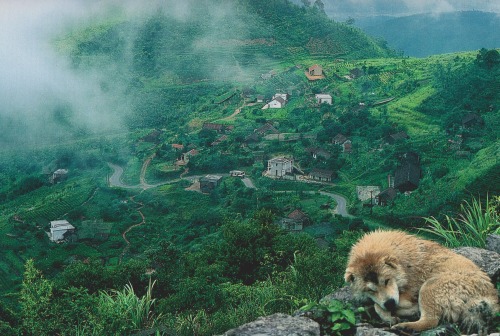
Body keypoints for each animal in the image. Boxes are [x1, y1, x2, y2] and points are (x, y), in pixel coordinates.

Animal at [346, 230, 498, 332]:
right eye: (370, 290)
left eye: (387, 280)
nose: (390, 304)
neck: (403, 263)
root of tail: (491, 294)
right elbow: (377, 304)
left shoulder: (408, 296)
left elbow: (377, 306)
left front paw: (389, 316)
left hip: (429, 286)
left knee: (431, 321)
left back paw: (406, 326)